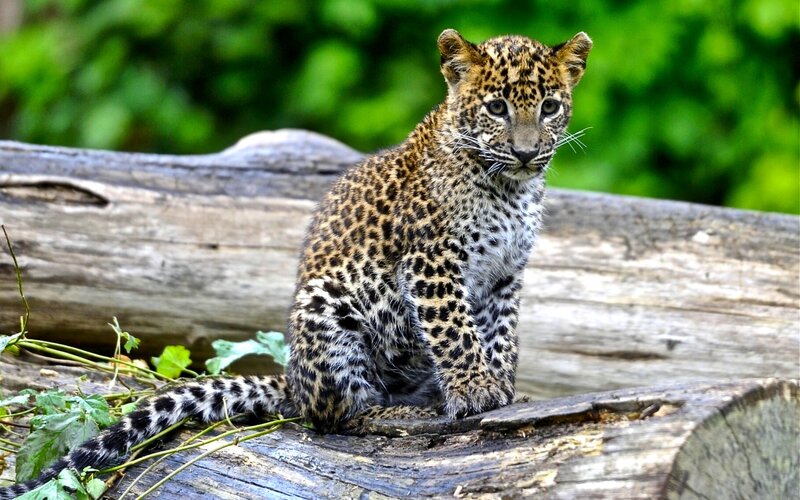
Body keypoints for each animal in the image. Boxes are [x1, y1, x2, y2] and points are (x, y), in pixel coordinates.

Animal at [0, 28, 591, 498]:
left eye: (549, 107)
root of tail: (291, 380)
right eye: (495, 108)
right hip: (327, 312)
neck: (510, 190)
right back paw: (398, 412)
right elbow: (456, 331)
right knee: (333, 416)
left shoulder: (505, 274)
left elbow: (500, 334)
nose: (526, 152)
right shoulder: (433, 263)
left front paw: (504, 387)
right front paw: (476, 389)